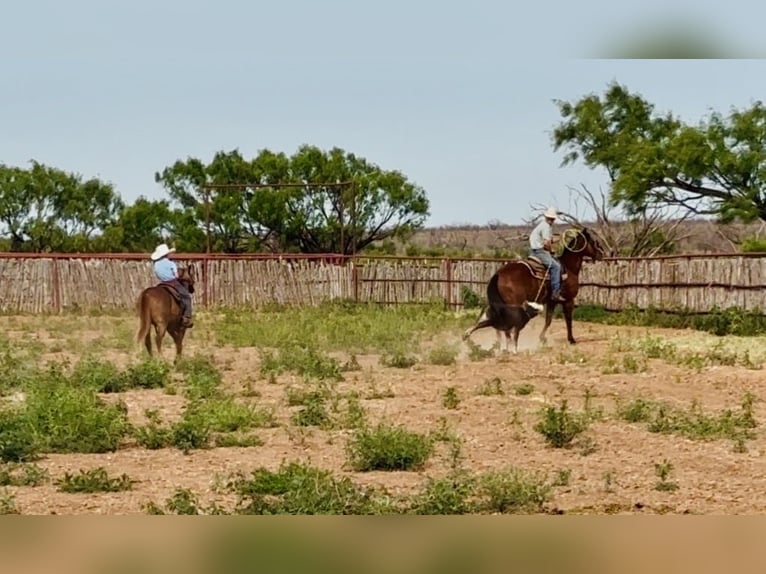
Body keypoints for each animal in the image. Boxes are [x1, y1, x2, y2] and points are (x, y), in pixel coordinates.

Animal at [465, 226, 605, 352]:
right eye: (594, 241)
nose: (601, 254)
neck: (569, 269)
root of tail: (498, 274)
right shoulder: (569, 300)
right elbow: (568, 320)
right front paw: (571, 339)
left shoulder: (552, 301)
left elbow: (548, 320)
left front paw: (542, 338)